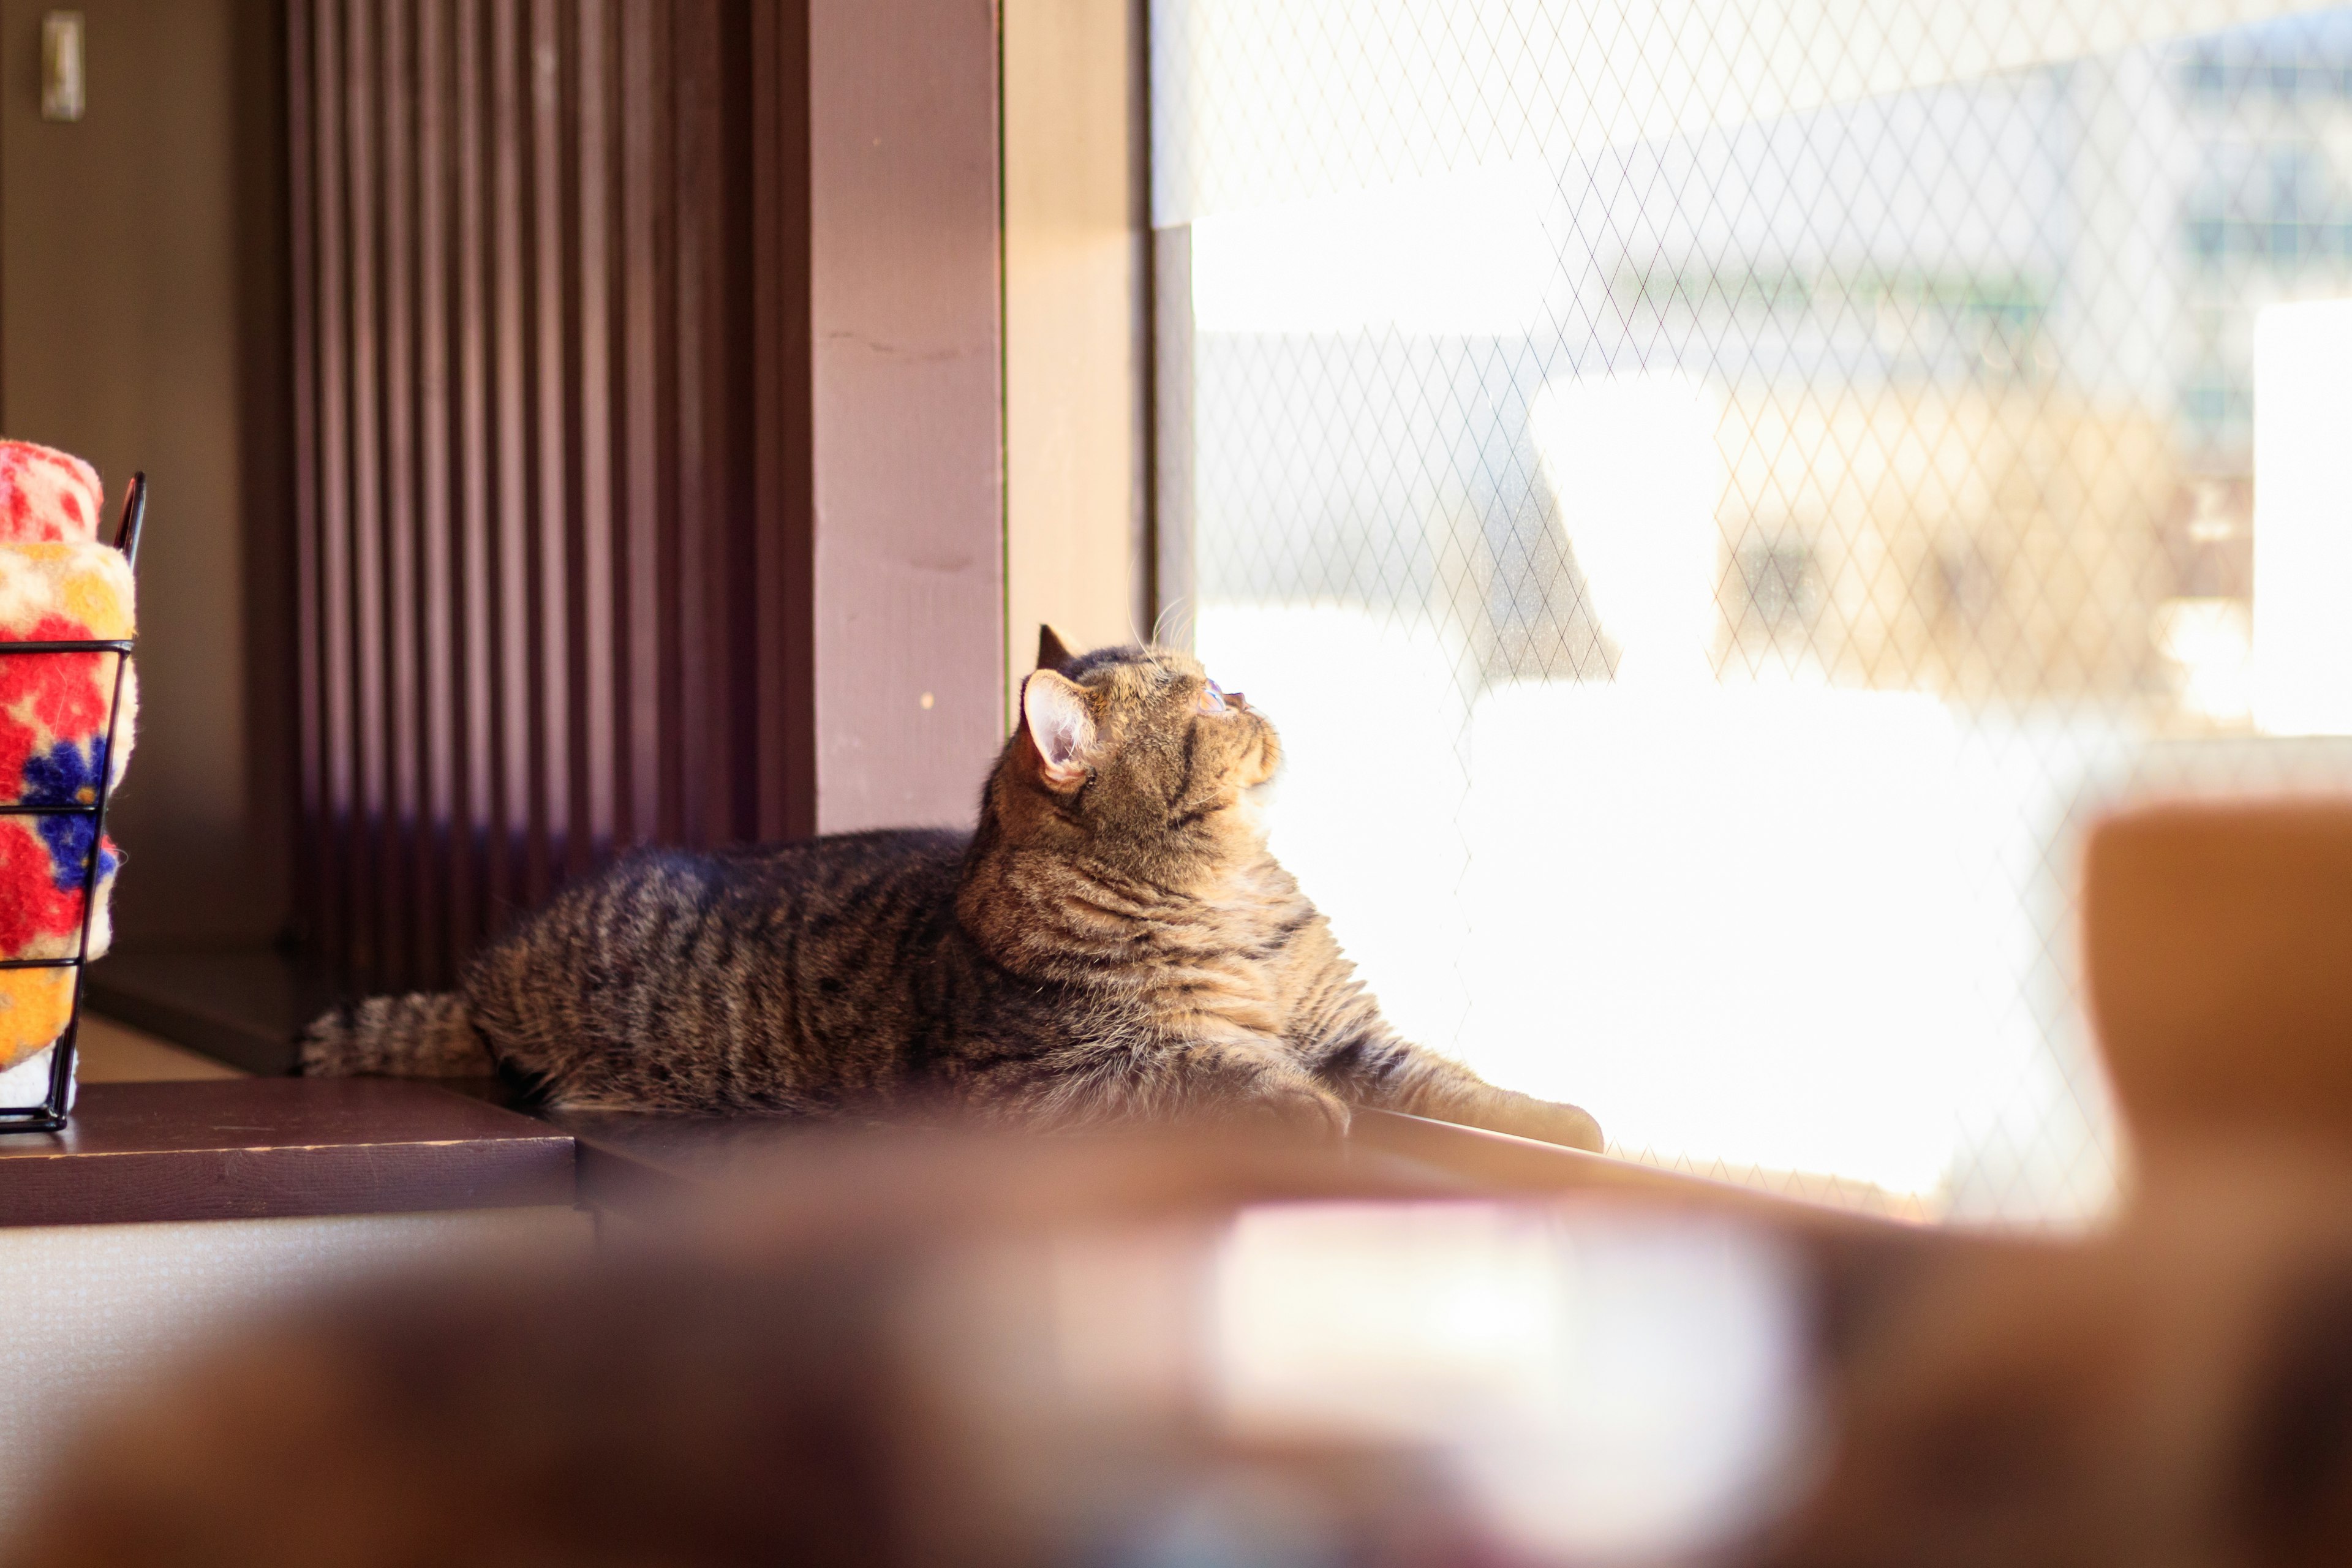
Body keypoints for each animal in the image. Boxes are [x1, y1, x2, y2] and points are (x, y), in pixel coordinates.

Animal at [298, 630, 1599, 1152]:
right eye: (1200, 699)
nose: (1249, 687)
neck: (1228, 895)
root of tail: (489, 976)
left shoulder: (1356, 1033)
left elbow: (1463, 1087)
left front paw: (1568, 1122)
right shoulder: (1050, 1076)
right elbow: (1208, 1065)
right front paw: (1298, 1107)